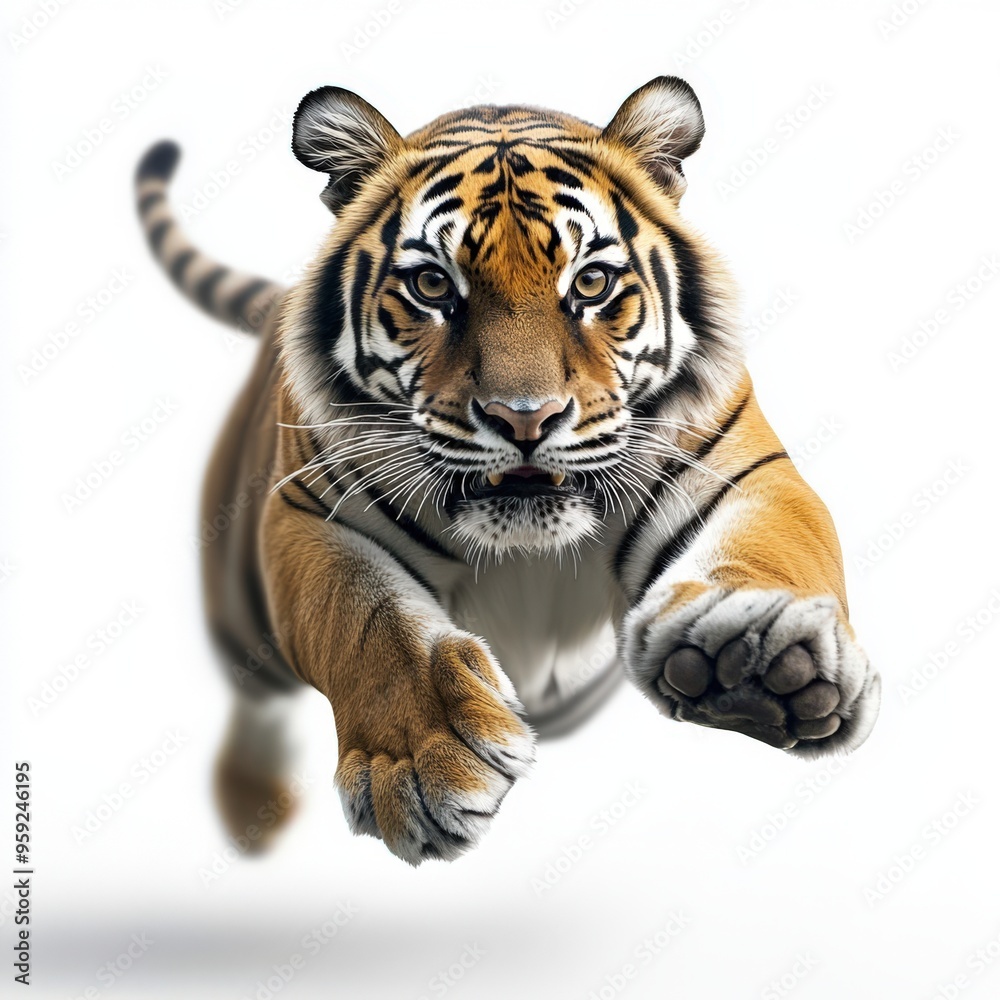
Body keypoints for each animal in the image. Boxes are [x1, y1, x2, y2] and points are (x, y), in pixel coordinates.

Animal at [135, 76, 880, 865]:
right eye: (433, 286)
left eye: (591, 282)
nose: (525, 418)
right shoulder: (310, 512)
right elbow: (364, 619)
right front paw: (425, 763)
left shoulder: (743, 469)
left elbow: (778, 546)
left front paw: (759, 656)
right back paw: (253, 809)